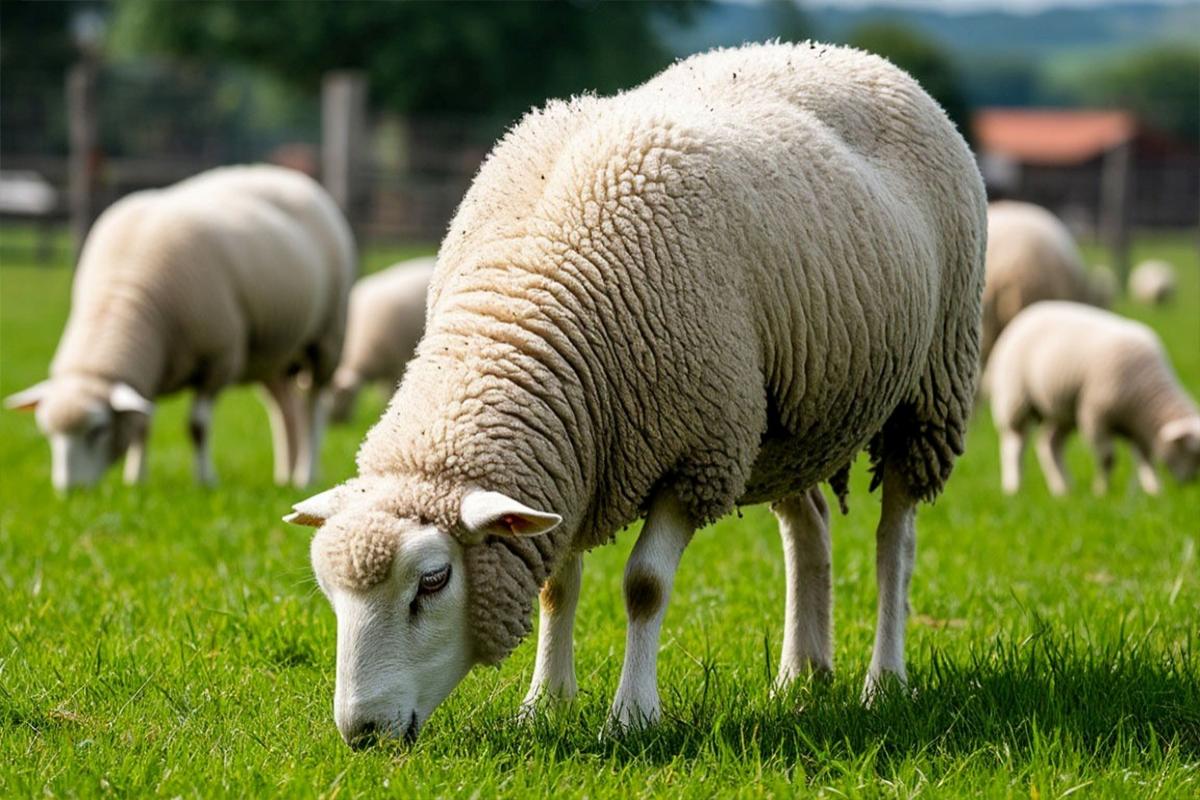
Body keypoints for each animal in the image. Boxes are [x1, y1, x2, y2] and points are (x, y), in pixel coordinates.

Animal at [4, 165, 356, 490]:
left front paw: (205, 480)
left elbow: (197, 427)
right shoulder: (148, 375)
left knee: (313, 404)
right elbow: (142, 426)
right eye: (47, 432)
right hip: (273, 356)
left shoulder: (218, 359)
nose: (70, 491)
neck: (125, 295)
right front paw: (136, 480)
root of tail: (285, 174)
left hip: (327, 338)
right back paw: (286, 474)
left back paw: (306, 474)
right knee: (284, 409)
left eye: (98, 430)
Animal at [985, 300, 1200, 497]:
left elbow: (1146, 459)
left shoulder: (1138, 427)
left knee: (1050, 444)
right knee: (1015, 445)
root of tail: (1030, 311)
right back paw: (1014, 487)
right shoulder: (1096, 416)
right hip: (1015, 399)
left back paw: (1063, 488)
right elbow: (1107, 458)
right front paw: (1102, 491)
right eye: (1191, 452)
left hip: (1063, 411)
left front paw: (1154, 490)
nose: (1191, 484)